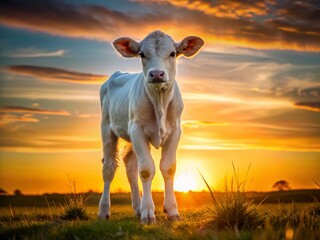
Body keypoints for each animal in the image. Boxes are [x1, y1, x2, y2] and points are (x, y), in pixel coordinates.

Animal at [97, 30, 204, 225]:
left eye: (172, 53)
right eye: (141, 54)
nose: (156, 74)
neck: (159, 102)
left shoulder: (175, 131)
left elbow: (168, 167)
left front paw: (172, 210)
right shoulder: (138, 131)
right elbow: (146, 170)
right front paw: (148, 213)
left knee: (130, 166)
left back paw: (137, 208)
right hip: (107, 128)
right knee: (108, 168)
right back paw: (104, 211)